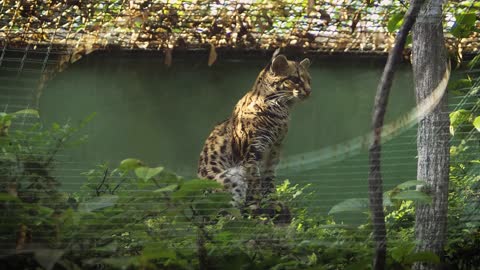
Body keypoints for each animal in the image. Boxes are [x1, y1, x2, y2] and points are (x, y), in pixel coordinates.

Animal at [196, 51, 312, 208]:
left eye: (309, 80)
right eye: (295, 79)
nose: (309, 91)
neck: (281, 110)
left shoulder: (274, 151)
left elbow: (268, 179)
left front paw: (271, 200)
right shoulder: (251, 152)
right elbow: (255, 180)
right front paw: (257, 203)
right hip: (231, 177)